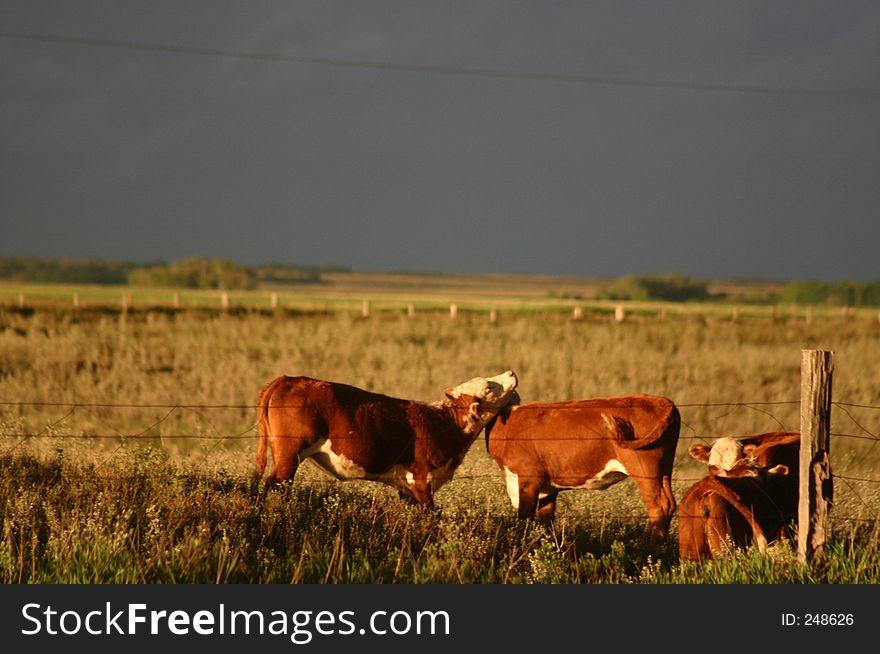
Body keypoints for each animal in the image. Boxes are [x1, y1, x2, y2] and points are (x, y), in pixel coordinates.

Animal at [251, 372, 520, 510]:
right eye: (488, 387)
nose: (511, 373)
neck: (443, 423)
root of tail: (289, 378)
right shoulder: (421, 479)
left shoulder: (407, 489)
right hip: (290, 453)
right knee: (275, 483)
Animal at [482, 394, 680, 544]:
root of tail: (661, 401)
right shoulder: (547, 488)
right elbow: (545, 520)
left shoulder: (528, 478)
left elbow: (525, 517)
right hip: (665, 468)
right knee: (670, 503)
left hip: (644, 469)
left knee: (659, 506)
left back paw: (651, 547)